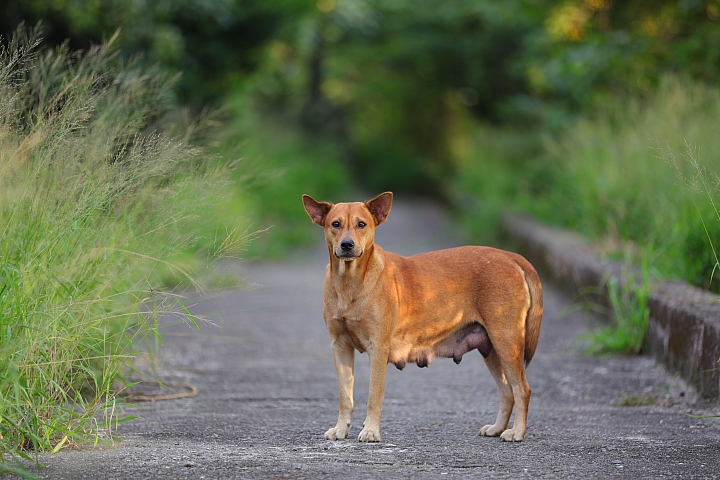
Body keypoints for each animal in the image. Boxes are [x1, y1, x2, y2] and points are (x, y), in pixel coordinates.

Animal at [300, 191, 544, 442]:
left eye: (361, 224)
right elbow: (345, 397)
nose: (347, 245)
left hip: (506, 342)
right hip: (491, 348)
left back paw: (517, 431)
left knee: (522, 389)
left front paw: (370, 431)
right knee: (507, 391)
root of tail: (510, 256)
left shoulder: (377, 348)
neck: (350, 282)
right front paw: (341, 429)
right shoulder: (340, 346)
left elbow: (373, 396)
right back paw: (497, 428)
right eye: (335, 224)